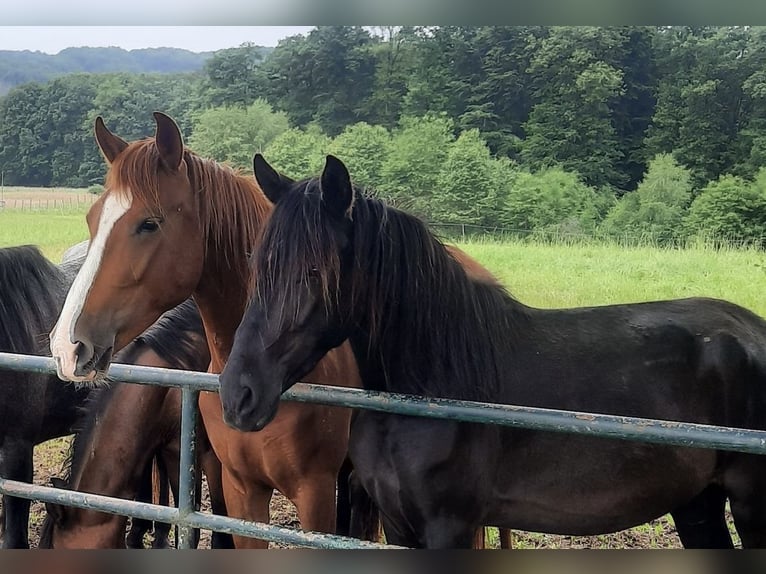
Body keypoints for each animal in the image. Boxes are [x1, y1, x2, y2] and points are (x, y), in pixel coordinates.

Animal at [218, 153, 766, 549]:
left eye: (315, 272)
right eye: (256, 263)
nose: (238, 395)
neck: (431, 385)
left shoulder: (450, 528)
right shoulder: (398, 525)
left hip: (749, 504)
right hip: (697, 503)